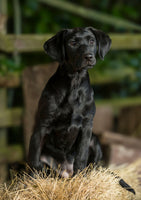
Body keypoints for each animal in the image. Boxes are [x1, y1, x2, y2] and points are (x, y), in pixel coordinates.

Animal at [27, 26, 135, 194]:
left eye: (91, 41)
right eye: (72, 43)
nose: (88, 56)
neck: (74, 82)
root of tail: (66, 171)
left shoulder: (86, 125)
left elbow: (81, 157)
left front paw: (80, 182)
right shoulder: (42, 124)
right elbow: (34, 157)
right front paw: (33, 183)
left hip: (94, 140)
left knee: (92, 165)